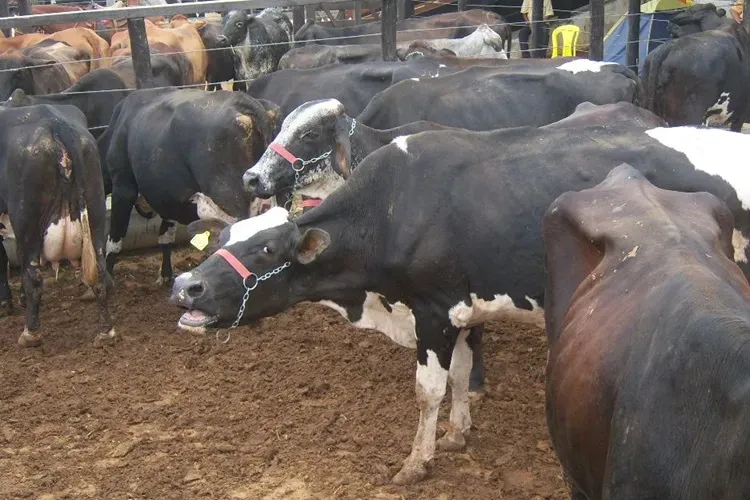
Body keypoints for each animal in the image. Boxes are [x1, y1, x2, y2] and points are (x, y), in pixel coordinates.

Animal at [0, 104, 115, 348]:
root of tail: (56, 124)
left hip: (27, 222)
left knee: (33, 275)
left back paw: (30, 334)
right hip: (95, 211)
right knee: (99, 271)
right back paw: (105, 332)